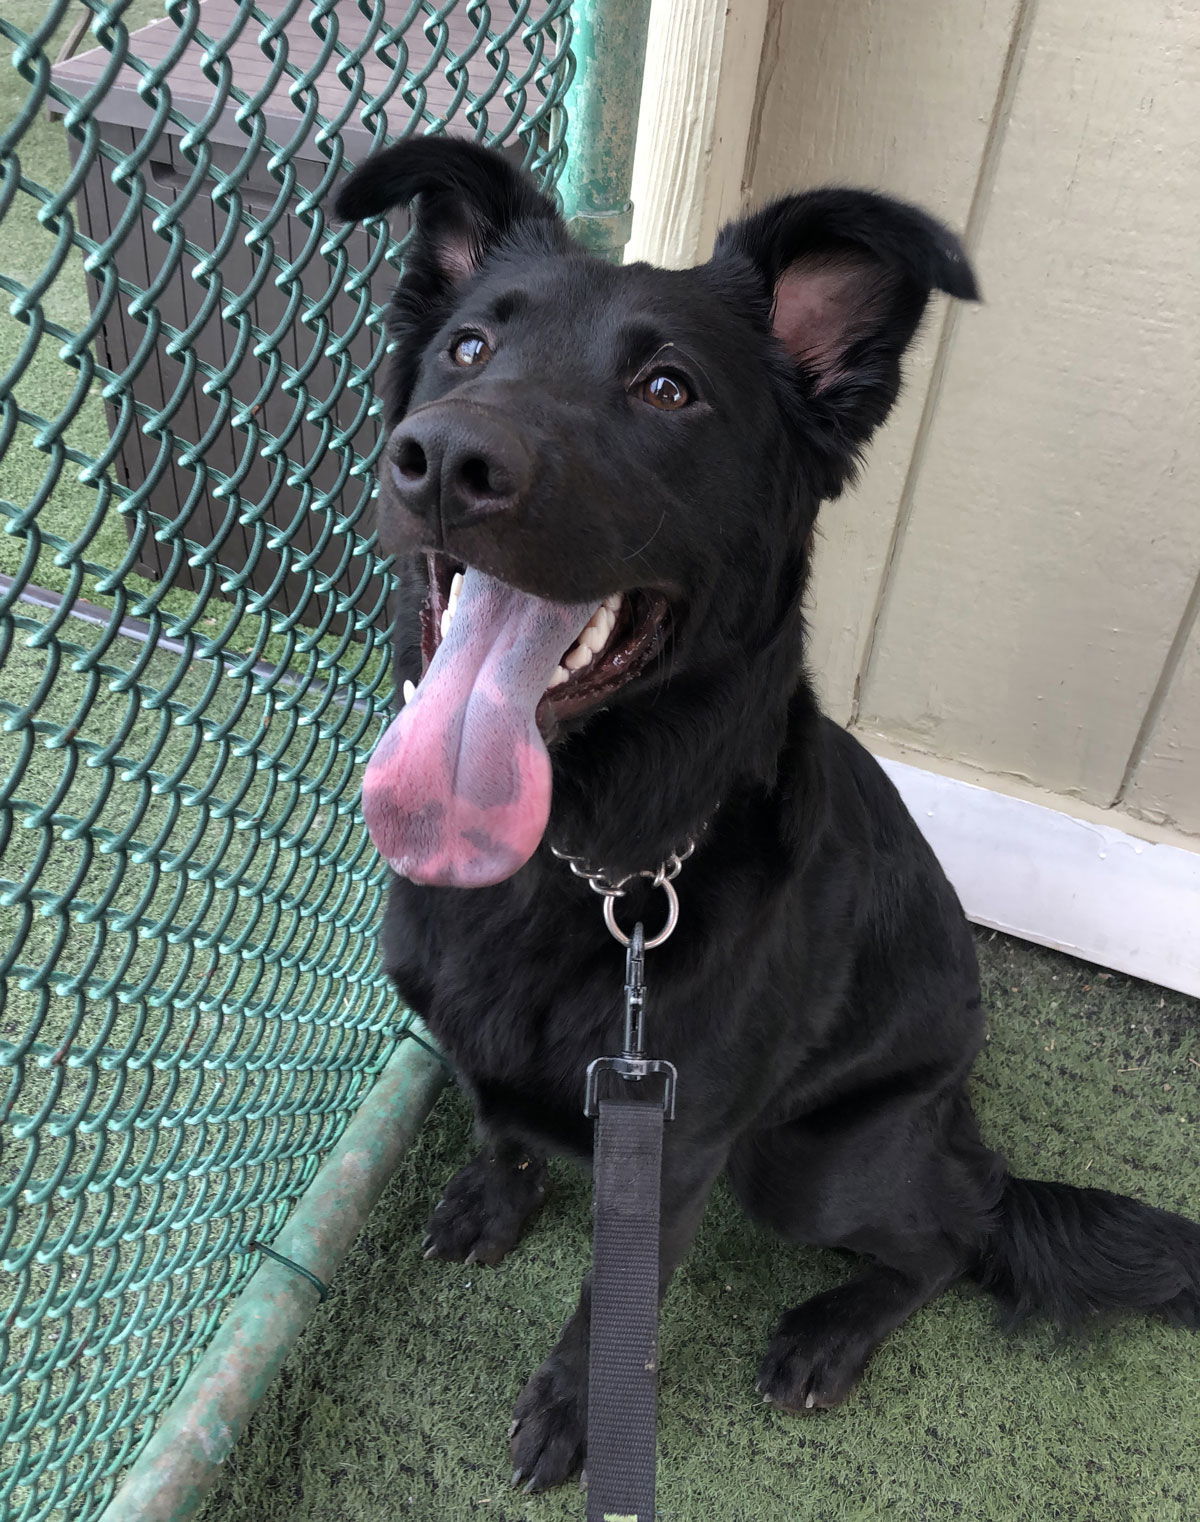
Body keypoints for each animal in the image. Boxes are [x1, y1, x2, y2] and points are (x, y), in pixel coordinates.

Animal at [330, 136, 1200, 1491]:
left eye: (669, 388)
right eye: (468, 347)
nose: (447, 462)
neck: (587, 861)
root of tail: (959, 1120)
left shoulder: (677, 1150)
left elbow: (610, 1305)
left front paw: (576, 1414)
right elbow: (497, 1119)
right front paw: (494, 1194)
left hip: (805, 1162)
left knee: (959, 1233)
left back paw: (831, 1333)